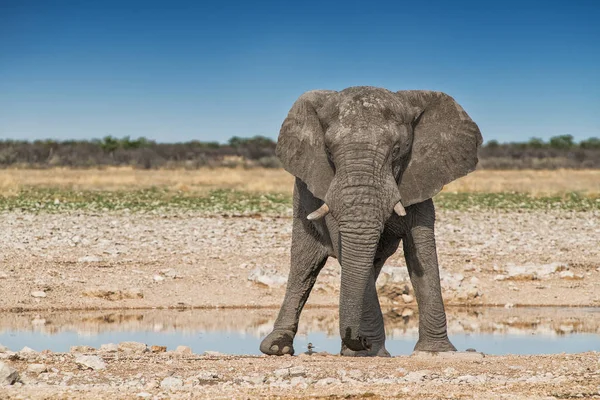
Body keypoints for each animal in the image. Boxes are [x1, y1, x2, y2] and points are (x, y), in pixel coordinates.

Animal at [258, 85, 482, 356]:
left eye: (396, 150)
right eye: (328, 151)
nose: (361, 340)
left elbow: (423, 253)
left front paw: (436, 351)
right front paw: (371, 353)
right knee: (304, 265)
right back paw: (277, 348)